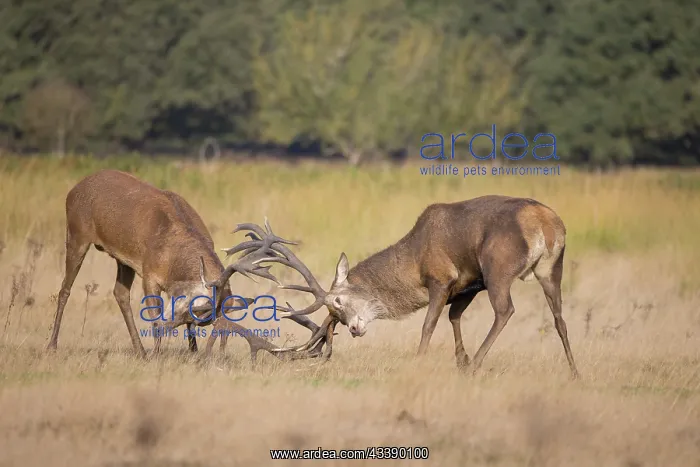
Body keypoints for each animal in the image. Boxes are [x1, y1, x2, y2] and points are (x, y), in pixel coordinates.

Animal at [46, 169, 331, 363]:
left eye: (201, 318)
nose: (167, 327)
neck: (173, 256)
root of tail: (74, 189)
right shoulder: (149, 273)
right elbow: (153, 313)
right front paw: (158, 353)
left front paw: (191, 352)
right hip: (77, 232)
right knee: (65, 289)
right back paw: (52, 345)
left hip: (120, 258)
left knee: (119, 293)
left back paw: (139, 350)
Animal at [254, 195, 580, 379]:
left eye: (338, 302)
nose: (354, 329)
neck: (414, 260)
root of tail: (547, 224)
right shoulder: (469, 284)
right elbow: (454, 317)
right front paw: (459, 361)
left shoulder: (441, 278)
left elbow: (429, 324)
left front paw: (423, 361)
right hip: (552, 269)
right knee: (559, 318)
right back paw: (574, 371)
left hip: (497, 267)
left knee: (505, 310)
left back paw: (477, 364)